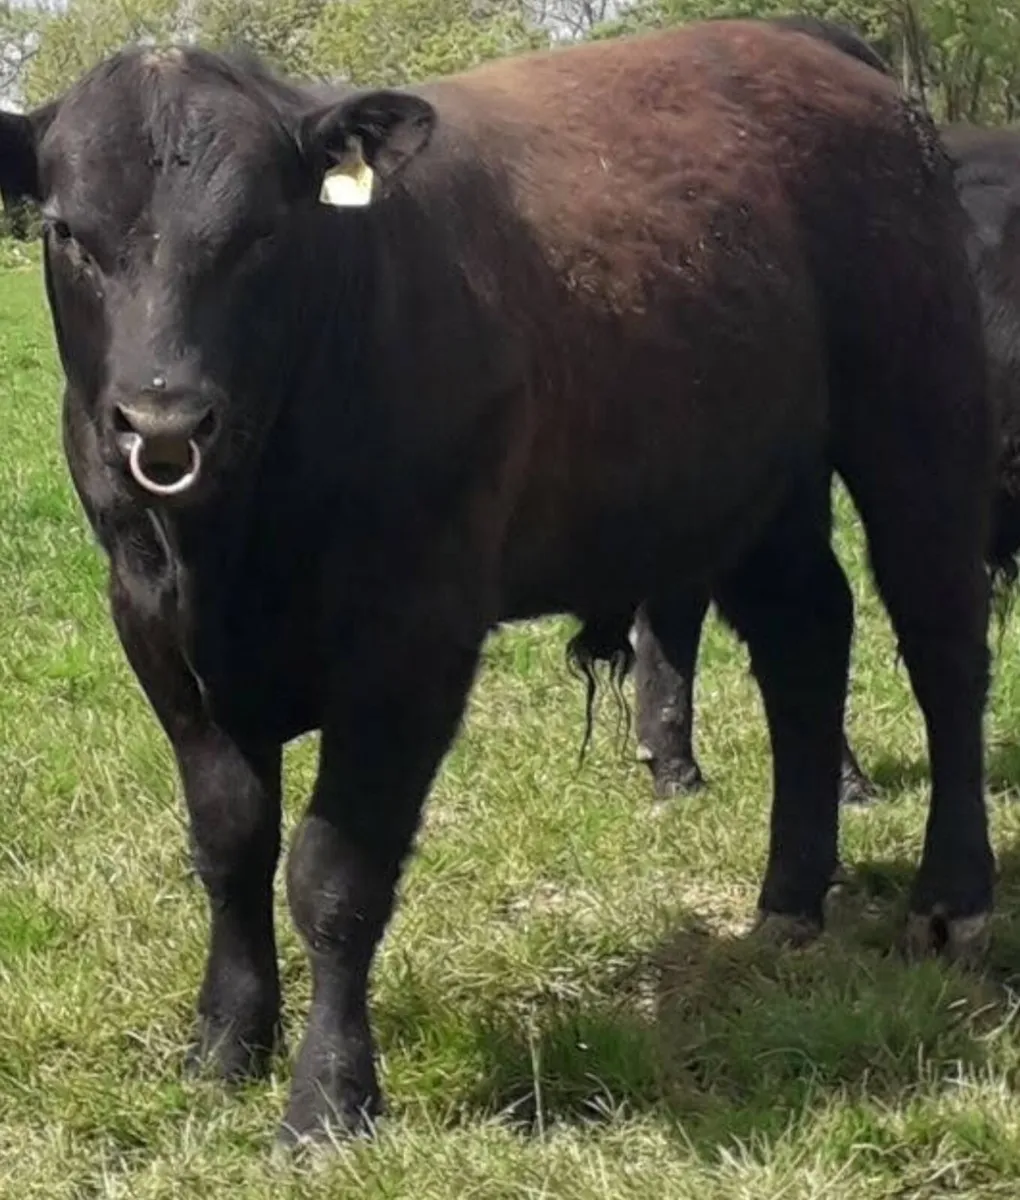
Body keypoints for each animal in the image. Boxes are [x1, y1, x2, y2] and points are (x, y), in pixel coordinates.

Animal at [0, 20, 995, 1147]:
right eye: (68, 232)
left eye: (261, 232)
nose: (163, 422)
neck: (229, 542)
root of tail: (806, 43)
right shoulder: (153, 625)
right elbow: (230, 846)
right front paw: (224, 1047)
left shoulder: (413, 632)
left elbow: (335, 876)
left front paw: (329, 1099)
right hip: (755, 477)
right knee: (806, 643)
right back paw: (788, 899)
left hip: (917, 417)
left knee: (943, 646)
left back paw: (951, 901)